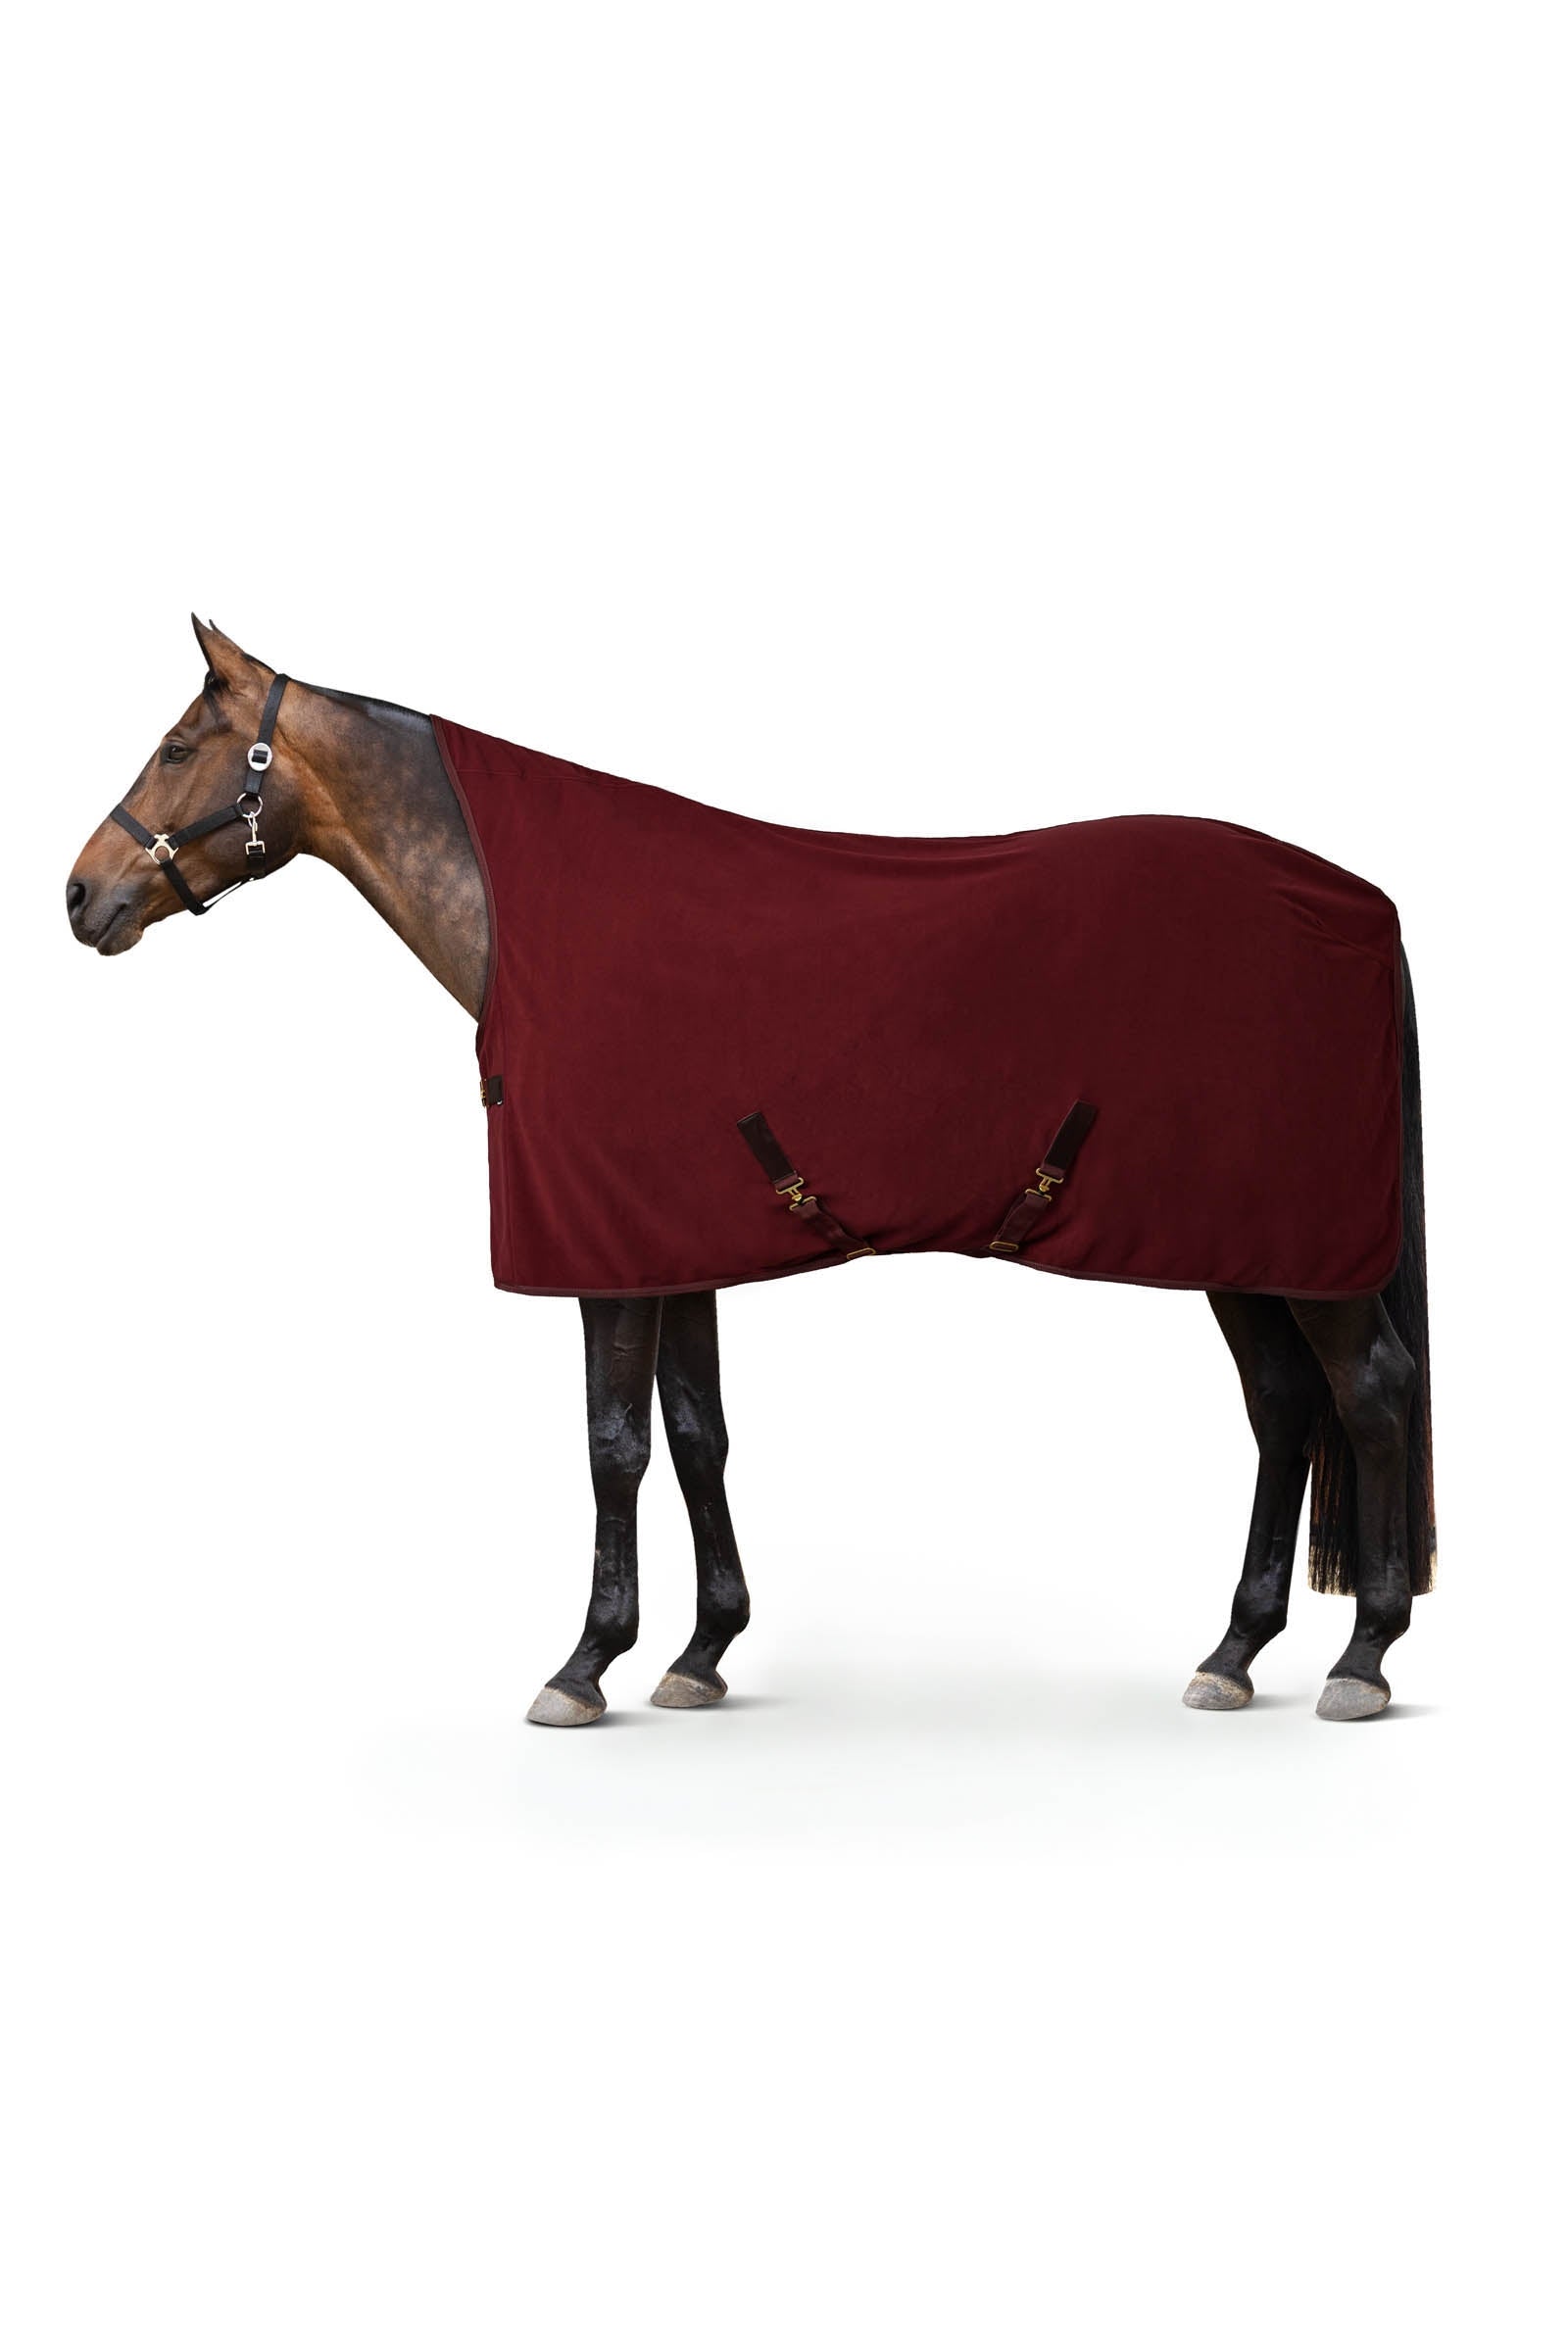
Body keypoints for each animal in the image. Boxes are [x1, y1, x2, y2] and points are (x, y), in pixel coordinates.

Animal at [66, 619, 1435, 1725]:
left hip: (1298, 1246)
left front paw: (585, 1663)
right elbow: (695, 1430)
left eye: (181, 746)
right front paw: (700, 1650)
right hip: (1240, 1242)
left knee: (1368, 1392)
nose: (81, 895)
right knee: (1284, 1405)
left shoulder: (606, 1252)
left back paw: (1362, 1657)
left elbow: (613, 1441)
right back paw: (1235, 1650)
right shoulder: (671, 1240)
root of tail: (1358, 900)